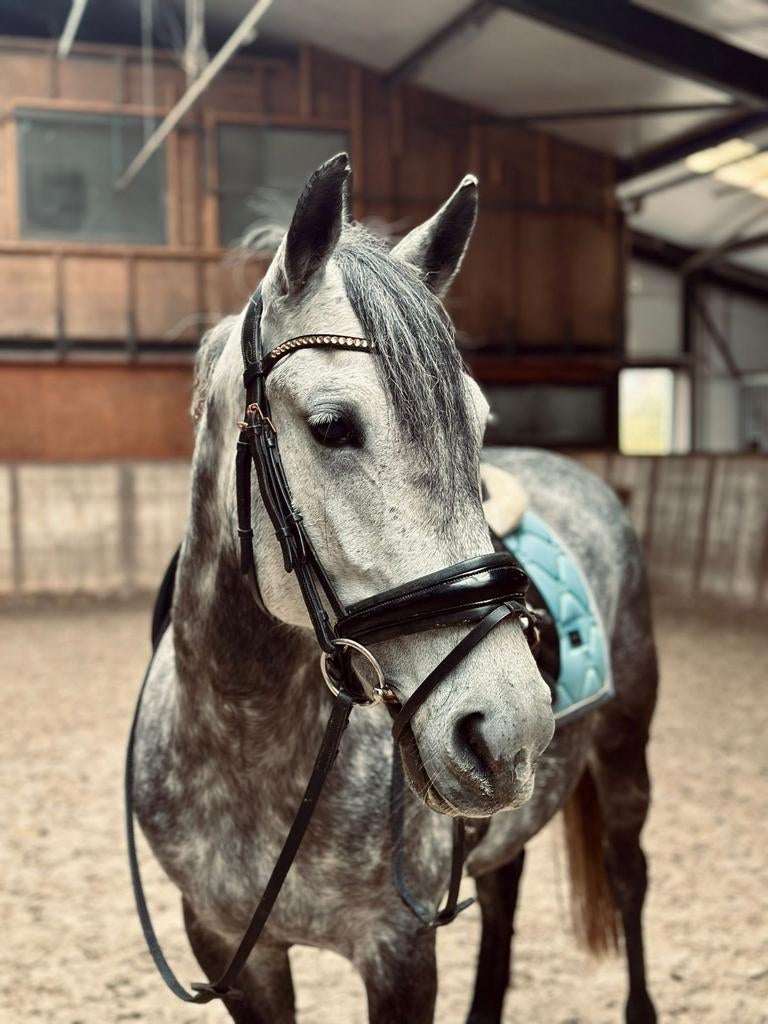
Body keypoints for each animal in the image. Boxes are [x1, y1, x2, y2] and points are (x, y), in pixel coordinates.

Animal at [131, 153, 658, 1024]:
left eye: (475, 427)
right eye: (332, 426)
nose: (508, 727)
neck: (248, 740)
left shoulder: (399, 950)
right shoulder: (228, 947)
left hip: (623, 756)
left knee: (628, 877)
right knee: (503, 887)